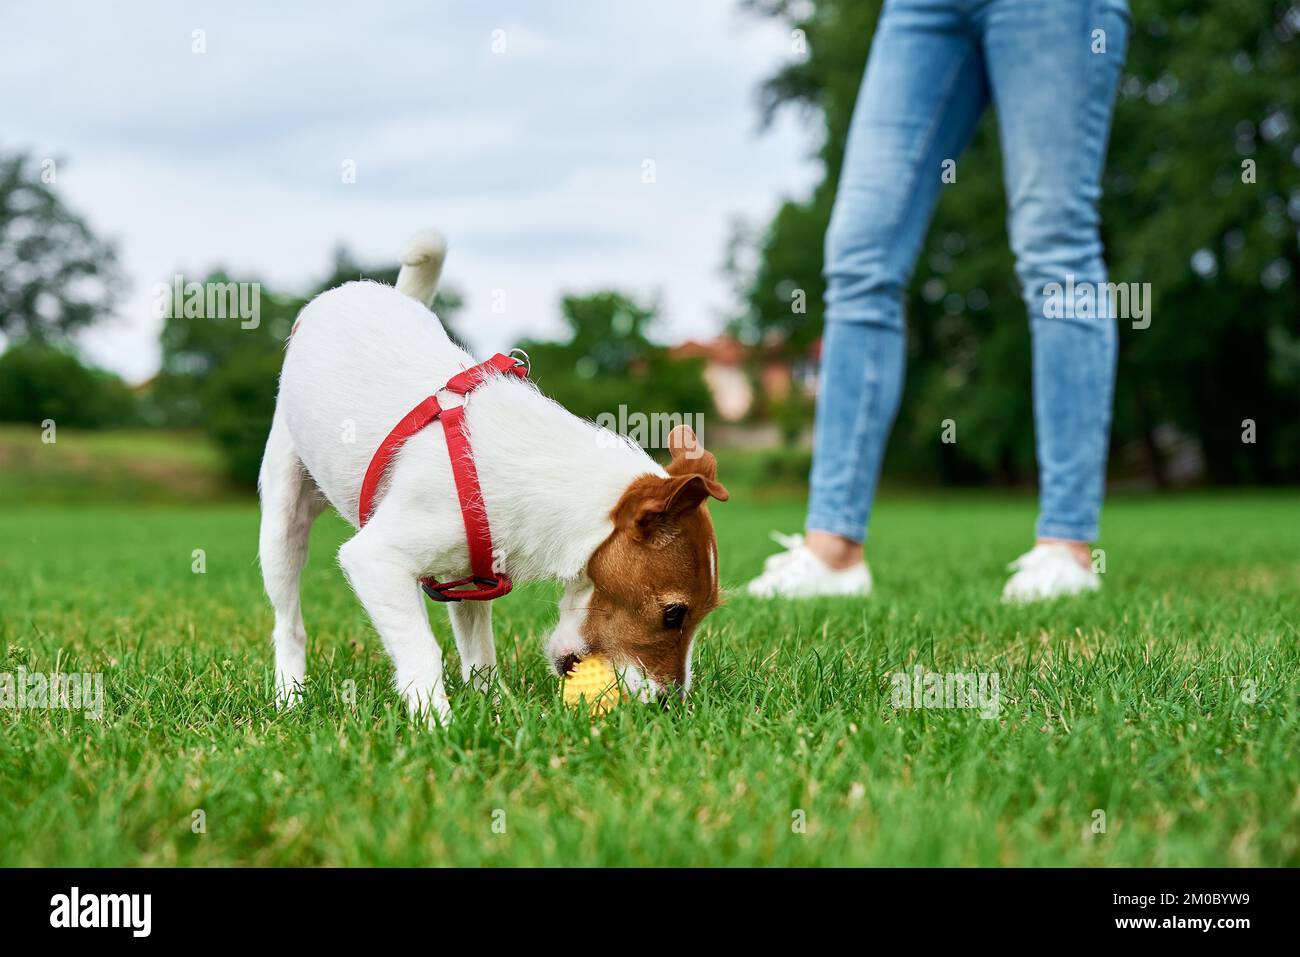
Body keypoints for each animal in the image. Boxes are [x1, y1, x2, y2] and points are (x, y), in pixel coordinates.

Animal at [258, 234, 728, 722]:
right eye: (674, 614)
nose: (670, 704)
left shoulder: (467, 579)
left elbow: (479, 655)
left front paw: (493, 710)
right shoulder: (375, 559)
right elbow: (422, 652)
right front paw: (437, 722)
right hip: (282, 522)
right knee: (289, 624)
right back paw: (289, 694)